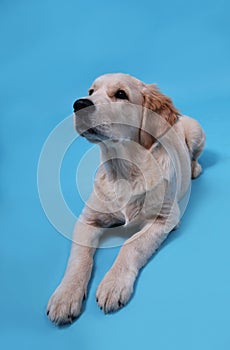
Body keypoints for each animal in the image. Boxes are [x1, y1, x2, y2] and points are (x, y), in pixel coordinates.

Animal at [46, 72, 205, 324]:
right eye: (91, 91)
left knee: (195, 155)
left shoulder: (165, 218)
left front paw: (113, 284)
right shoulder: (87, 218)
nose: (79, 104)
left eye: (121, 94)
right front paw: (66, 295)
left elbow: (131, 245)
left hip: (196, 130)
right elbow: (79, 258)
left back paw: (194, 168)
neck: (124, 170)